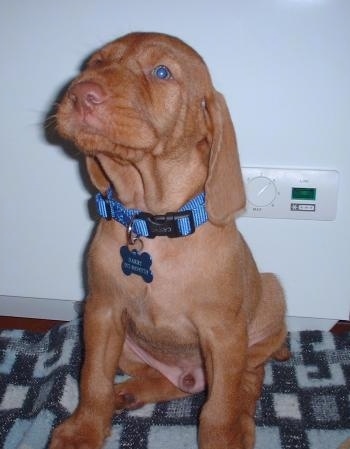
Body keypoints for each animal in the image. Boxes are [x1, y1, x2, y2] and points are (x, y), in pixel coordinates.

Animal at [50, 32, 290, 448]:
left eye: (162, 72)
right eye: (97, 62)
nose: (80, 94)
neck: (150, 222)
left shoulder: (223, 334)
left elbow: (220, 404)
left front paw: (223, 435)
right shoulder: (102, 311)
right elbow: (92, 379)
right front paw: (84, 428)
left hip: (268, 304)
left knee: (247, 377)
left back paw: (242, 420)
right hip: (124, 345)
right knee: (173, 382)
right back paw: (128, 393)